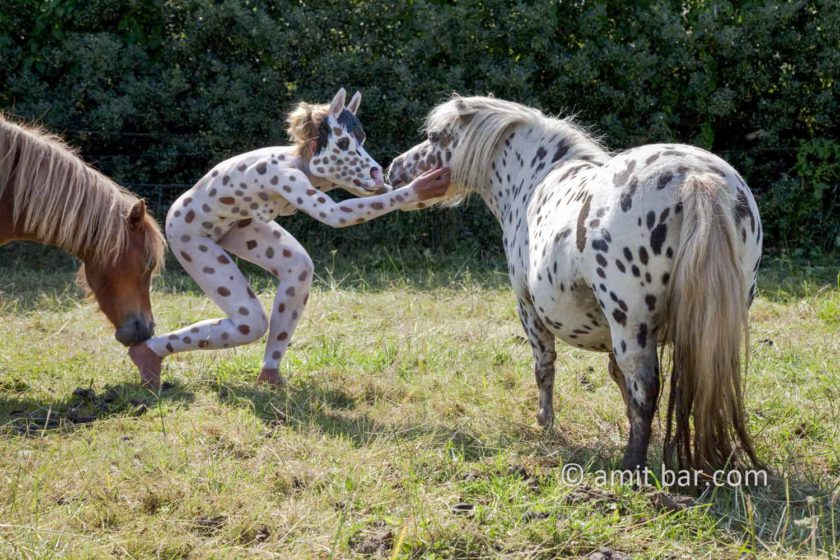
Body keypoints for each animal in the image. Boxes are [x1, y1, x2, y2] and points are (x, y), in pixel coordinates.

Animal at [386, 96, 763, 472]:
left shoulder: (529, 310)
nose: (394, 169)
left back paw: (631, 465)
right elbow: (617, 378)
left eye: (434, 137)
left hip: (632, 327)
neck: (534, 179)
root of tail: (694, 176)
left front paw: (545, 422)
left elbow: (545, 368)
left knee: (645, 387)